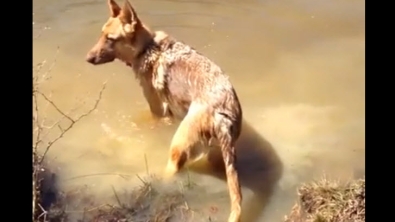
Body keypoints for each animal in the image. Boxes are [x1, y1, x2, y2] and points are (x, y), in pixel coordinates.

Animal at [87, 0, 246, 221]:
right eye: (101, 35)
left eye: (111, 39)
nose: (87, 58)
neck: (147, 48)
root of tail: (221, 115)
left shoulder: (157, 111)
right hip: (215, 153)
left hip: (177, 147)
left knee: (170, 172)